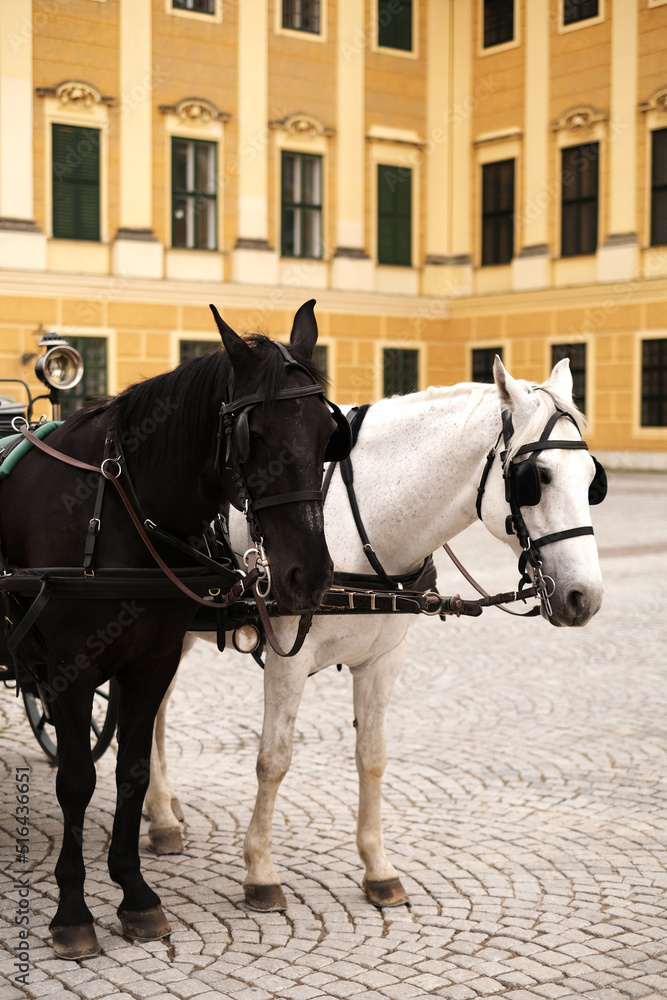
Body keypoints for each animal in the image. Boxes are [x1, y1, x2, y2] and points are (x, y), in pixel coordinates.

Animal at [0, 298, 344, 960]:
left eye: (327, 434)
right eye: (255, 436)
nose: (310, 575)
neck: (118, 509)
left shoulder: (151, 663)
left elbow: (131, 772)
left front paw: (135, 895)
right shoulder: (70, 669)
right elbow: (78, 779)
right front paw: (72, 911)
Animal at [146, 360, 604, 916]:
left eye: (592, 479)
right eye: (539, 478)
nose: (585, 596)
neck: (360, 520)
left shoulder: (384, 658)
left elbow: (373, 756)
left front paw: (378, 868)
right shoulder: (287, 658)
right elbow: (273, 760)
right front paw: (260, 871)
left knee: (155, 711)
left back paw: (163, 810)